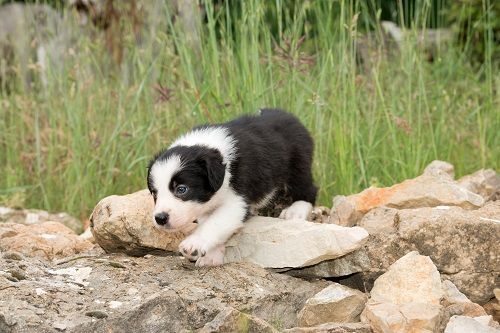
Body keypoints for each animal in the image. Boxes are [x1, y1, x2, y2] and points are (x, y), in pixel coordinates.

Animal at [147, 107, 316, 266]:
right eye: (154, 193)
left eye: (181, 189)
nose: (160, 218)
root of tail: (290, 117)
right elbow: (213, 224)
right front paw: (212, 256)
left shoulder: (237, 200)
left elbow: (215, 222)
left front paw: (194, 243)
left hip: (298, 165)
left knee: (308, 189)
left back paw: (296, 211)